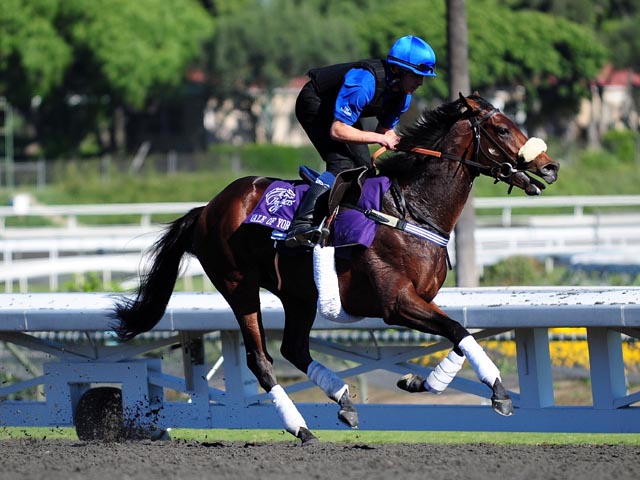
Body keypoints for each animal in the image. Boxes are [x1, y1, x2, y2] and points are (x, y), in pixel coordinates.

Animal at [112, 93, 559, 445]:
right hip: (239, 287)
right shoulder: (396, 303)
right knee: (262, 360)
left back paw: (343, 399)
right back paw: (301, 428)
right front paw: (499, 392)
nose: (549, 166)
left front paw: (419, 381)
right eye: (501, 129)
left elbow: (458, 334)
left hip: (297, 293)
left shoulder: (423, 299)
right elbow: (459, 331)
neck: (409, 208)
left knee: (294, 348)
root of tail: (207, 208)